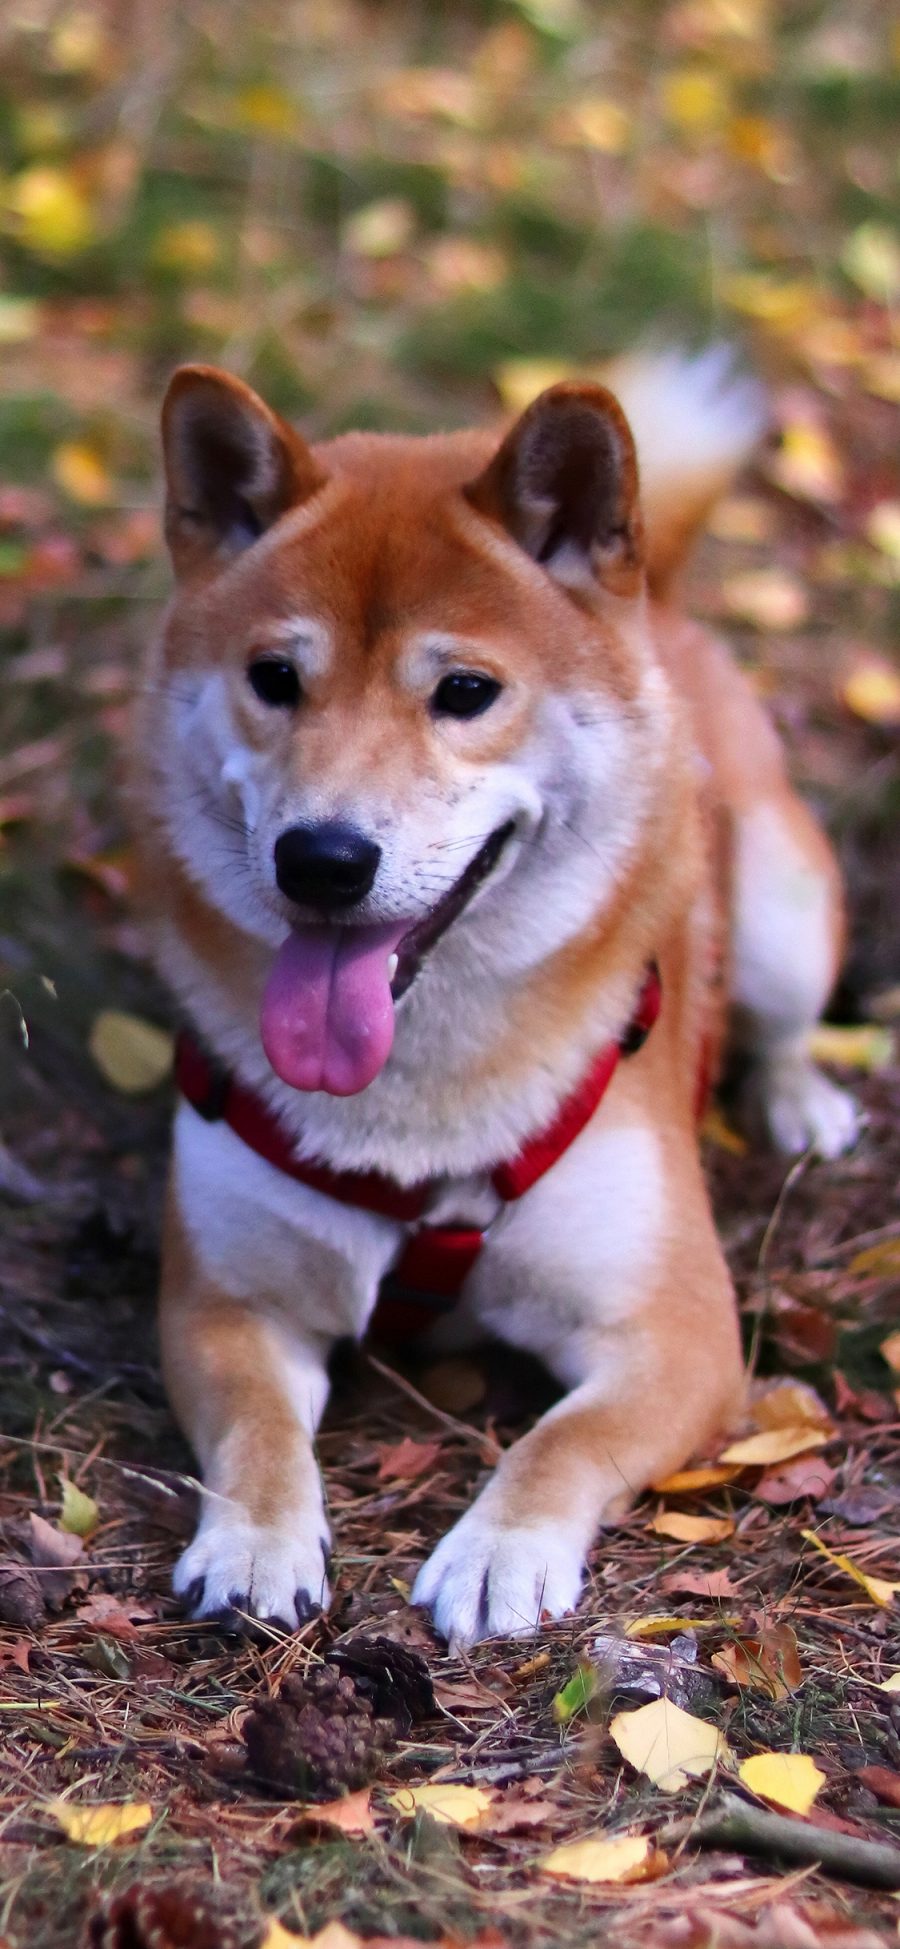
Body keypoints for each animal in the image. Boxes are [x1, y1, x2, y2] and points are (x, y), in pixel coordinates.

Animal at [130, 346, 853, 1644]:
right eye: (275, 678)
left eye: (465, 690)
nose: (322, 859)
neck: (418, 1104)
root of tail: (664, 603)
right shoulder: (225, 1299)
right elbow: (258, 1427)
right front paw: (256, 1537)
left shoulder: (675, 1332)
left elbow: (560, 1442)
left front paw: (499, 1547)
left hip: (781, 908)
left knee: (783, 1019)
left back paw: (800, 1099)